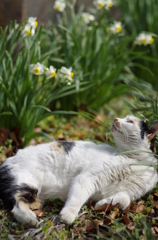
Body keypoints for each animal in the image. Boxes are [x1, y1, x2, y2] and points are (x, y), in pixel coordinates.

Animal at [0, 115, 157, 227]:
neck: (134, 161)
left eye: (129, 121)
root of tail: (7, 160)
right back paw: (30, 220)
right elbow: (77, 199)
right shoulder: (87, 178)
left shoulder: (129, 193)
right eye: (124, 118)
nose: (115, 119)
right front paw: (68, 216)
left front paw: (104, 204)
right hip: (27, 183)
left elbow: (124, 200)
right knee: (16, 205)